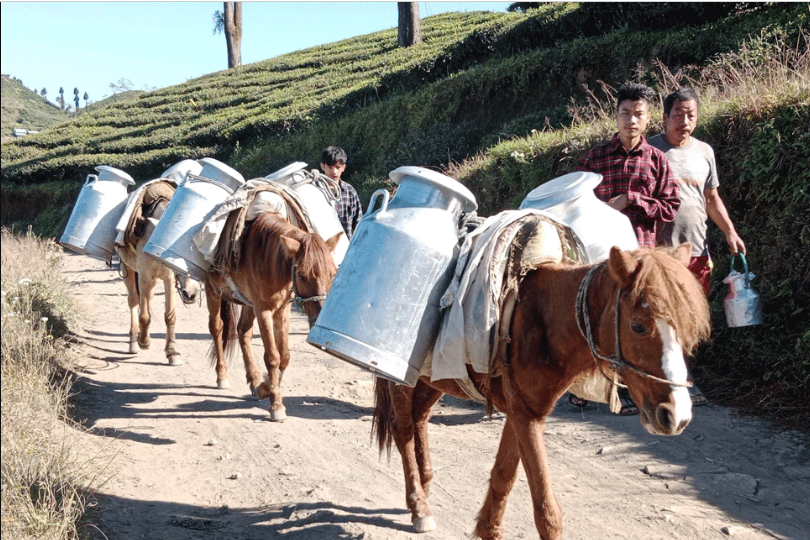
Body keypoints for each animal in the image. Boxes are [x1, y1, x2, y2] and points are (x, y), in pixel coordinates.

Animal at [116, 193, 200, 362]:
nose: (191, 294)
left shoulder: (169, 278)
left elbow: (170, 316)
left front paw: (172, 352)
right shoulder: (144, 275)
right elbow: (144, 316)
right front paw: (144, 342)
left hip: (153, 281)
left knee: (147, 300)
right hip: (128, 270)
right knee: (134, 301)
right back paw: (134, 340)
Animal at [207, 212, 340, 422]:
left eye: (333, 274)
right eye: (302, 276)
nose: (319, 317)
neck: (267, 257)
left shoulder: (282, 309)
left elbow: (284, 356)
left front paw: (265, 387)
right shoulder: (263, 310)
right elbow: (272, 357)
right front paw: (276, 404)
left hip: (247, 302)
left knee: (243, 332)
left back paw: (254, 379)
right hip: (212, 290)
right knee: (217, 328)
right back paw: (222, 375)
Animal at [370, 245, 708, 540]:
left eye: (688, 329)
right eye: (638, 326)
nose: (676, 415)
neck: (545, 319)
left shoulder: (523, 411)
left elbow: (503, 476)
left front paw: (488, 529)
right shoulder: (525, 415)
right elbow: (546, 511)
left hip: (435, 379)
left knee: (419, 418)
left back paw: (424, 488)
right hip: (401, 376)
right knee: (402, 429)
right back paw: (418, 506)